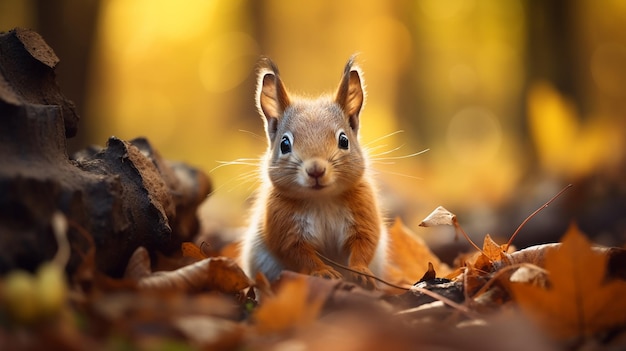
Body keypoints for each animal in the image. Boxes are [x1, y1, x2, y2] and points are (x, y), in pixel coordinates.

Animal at [241, 57, 388, 288]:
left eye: (344, 140)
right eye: (284, 144)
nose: (316, 170)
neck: (322, 199)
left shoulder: (364, 214)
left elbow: (365, 243)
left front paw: (360, 271)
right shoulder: (284, 227)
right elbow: (300, 254)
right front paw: (323, 272)